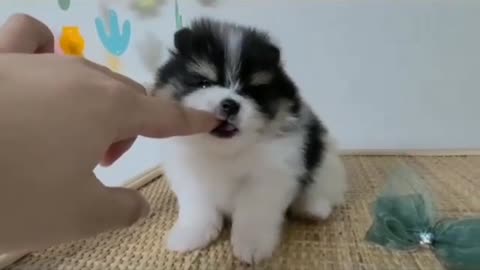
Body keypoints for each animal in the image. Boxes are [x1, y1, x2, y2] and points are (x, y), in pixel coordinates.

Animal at [152, 17, 346, 264]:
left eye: (250, 91)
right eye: (204, 83)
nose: (230, 104)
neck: (224, 151)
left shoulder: (268, 178)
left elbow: (254, 214)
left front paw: (252, 247)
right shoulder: (191, 176)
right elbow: (198, 208)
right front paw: (191, 234)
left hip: (325, 163)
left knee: (319, 187)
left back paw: (313, 208)